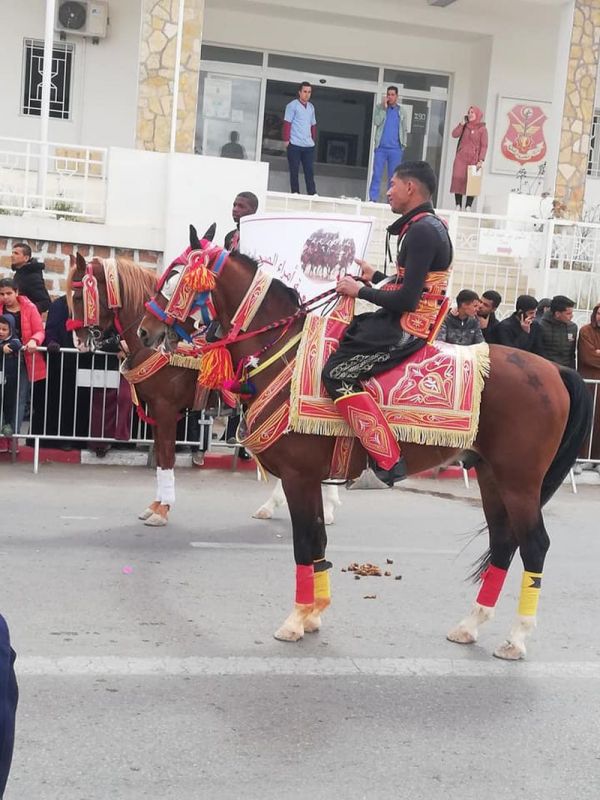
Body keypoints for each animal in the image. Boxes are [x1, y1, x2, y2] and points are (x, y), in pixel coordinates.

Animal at [67, 246, 341, 527]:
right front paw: (156, 504)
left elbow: (167, 456)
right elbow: (161, 458)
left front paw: (162, 509)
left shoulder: (166, 410)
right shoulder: (156, 410)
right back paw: (273, 505)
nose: (78, 341)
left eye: (78, 296)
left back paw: (328, 508)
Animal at [137, 228, 591, 660]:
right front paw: (314, 613)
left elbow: (305, 543)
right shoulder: (308, 478)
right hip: (490, 475)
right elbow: (319, 541)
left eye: (176, 277)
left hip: (519, 480)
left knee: (535, 545)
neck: (285, 353)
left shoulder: (299, 477)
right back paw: (471, 625)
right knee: (503, 542)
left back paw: (516, 639)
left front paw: (296, 619)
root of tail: (554, 370)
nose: (146, 331)